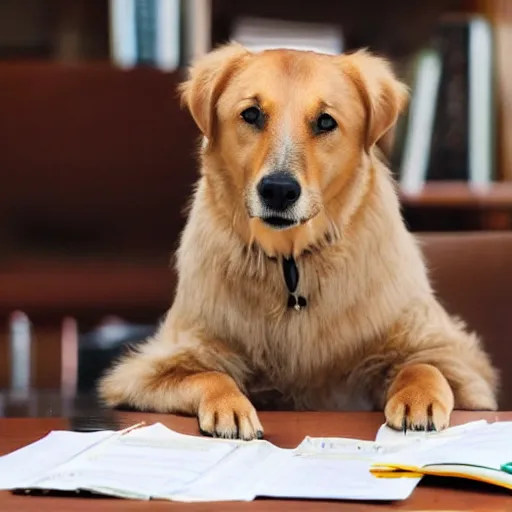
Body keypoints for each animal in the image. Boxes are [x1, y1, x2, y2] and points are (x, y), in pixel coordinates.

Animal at [98, 42, 498, 440]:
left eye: (325, 121)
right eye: (252, 114)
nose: (278, 190)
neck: (292, 262)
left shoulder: (457, 359)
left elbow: (423, 366)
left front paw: (418, 399)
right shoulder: (148, 368)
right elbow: (210, 374)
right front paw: (230, 407)